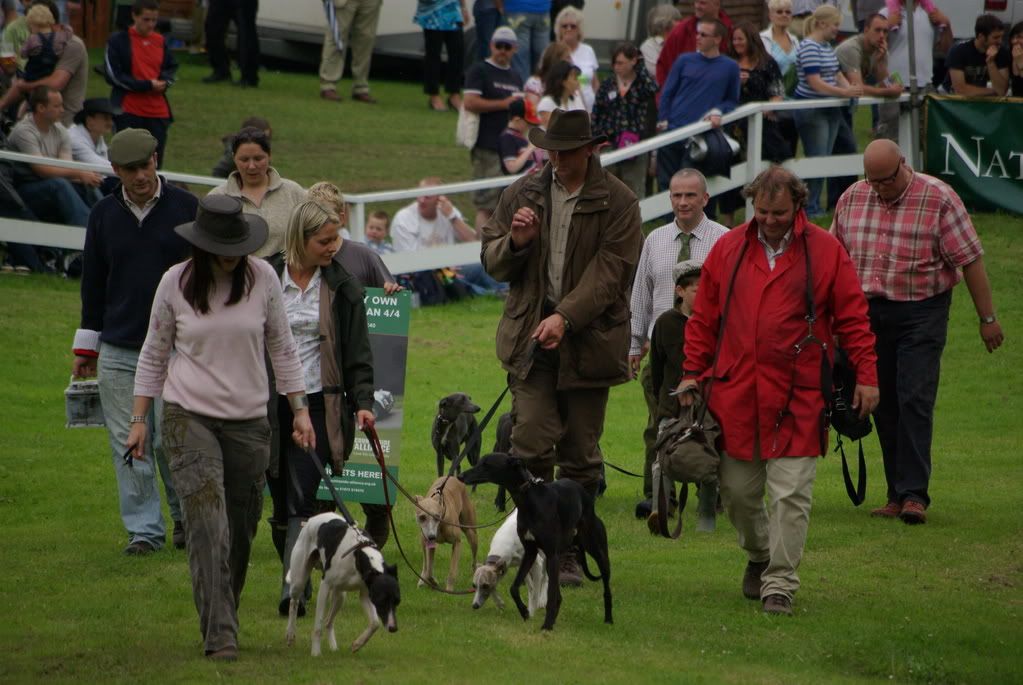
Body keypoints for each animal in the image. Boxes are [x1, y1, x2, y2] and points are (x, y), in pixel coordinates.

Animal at [288, 515, 403, 654]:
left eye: (397, 601)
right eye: (381, 601)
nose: (393, 628)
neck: (358, 555)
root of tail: (313, 518)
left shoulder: (366, 594)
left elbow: (375, 623)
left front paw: (357, 644)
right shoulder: (324, 586)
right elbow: (318, 626)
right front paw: (315, 652)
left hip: (340, 596)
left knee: (329, 622)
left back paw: (333, 647)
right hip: (299, 580)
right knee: (294, 602)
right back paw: (290, 635)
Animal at [460, 455, 609, 633]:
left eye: (486, 464)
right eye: (474, 586)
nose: (461, 476)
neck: (532, 500)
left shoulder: (547, 556)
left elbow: (544, 592)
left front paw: (543, 619)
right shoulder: (528, 555)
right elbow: (515, 588)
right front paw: (524, 611)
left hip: (592, 550)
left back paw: (607, 618)